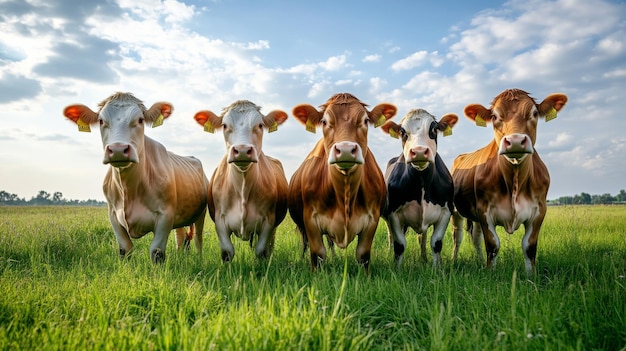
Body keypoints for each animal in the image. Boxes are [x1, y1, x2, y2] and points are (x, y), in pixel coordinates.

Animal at [64, 93, 210, 264]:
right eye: (101, 121)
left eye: (140, 120)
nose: (118, 149)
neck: (130, 189)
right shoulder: (113, 215)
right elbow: (125, 249)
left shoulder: (165, 215)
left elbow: (157, 252)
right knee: (180, 237)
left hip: (201, 213)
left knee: (198, 239)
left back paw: (200, 259)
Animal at [191, 99, 288, 262]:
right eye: (225, 125)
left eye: (260, 125)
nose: (242, 150)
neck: (242, 187)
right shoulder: (220, 220)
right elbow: (227, 252)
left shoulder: (268, 221)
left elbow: (261, 250)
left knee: (270, 244)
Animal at [288, 92, 394, 274]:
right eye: (324, 121)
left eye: (365, 120)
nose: (345, 150)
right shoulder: (310, 219)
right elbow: (317, 253)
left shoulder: (372, 218)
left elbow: (363, 255)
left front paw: (365, 277)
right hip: (301, 224)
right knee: (305, 243)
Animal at [376, 110, 458, 266]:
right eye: (402, 131)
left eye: (434, 129)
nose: (419, 151)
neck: (421, 182)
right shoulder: (393, 214)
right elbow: (399, 245)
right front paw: (397, 267)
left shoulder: (446, 212)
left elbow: (436, 243)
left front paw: (436, 267)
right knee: (391, 236)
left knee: (422, 238)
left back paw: (424, 258)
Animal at [448, 88, 564, 276]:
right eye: (494, 116)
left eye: (534, 113)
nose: (515, 141)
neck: (515, 181)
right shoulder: (484, 210)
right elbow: (492, 244)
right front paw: (490, 273)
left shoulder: (540, 210)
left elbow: (529, 246)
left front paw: (531, 275)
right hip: (456, 212)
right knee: (457, 237)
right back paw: (453, 261)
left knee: (476, 237)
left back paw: (479, 260)